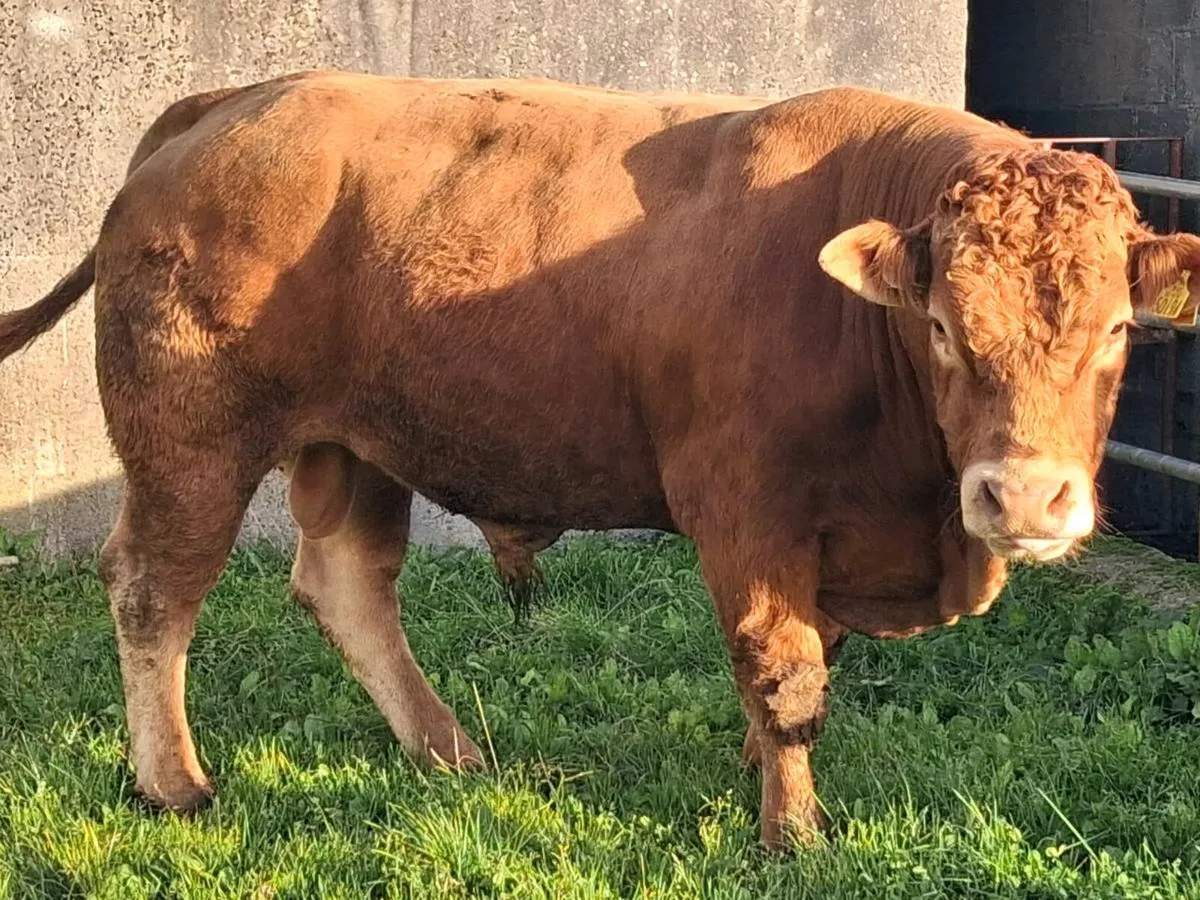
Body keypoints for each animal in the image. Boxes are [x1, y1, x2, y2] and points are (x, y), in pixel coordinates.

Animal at [2, 71, 1196, 849]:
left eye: (1118, 331)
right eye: (944, 327)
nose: (1024, 498)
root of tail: (228, 103)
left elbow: (803, 666)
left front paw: (758, 776)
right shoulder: (745, 514)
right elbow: (786, 674)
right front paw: (794, 834)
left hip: (358, 442)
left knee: (344, 584)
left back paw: (447, 752)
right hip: (191, 443)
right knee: (155, 589)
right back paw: (174, 784)